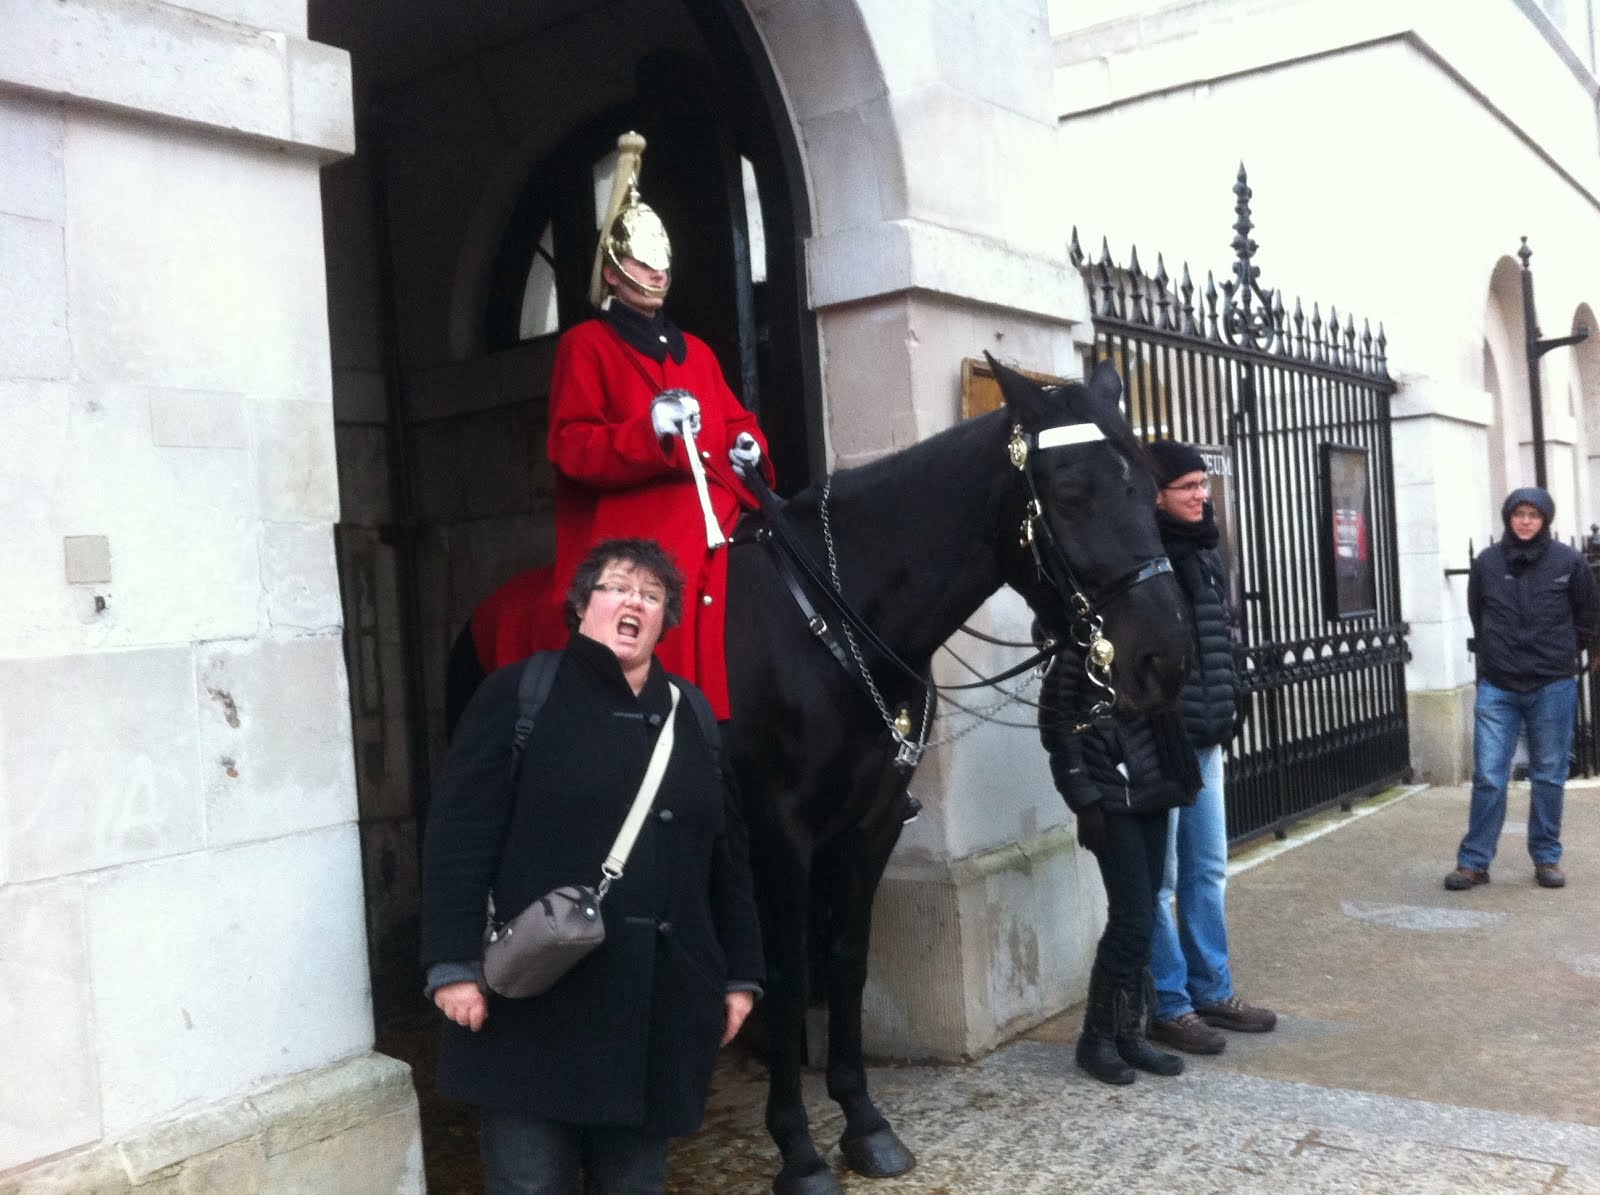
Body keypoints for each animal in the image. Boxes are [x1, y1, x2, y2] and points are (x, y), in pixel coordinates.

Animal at [448, 359, 1190, 1195]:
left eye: (1147, 486)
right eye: (1070, 492)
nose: (1164, 659)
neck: (837, 620)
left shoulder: (869, 827)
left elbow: (845, 962)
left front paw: (864, 1121)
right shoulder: (779, 834)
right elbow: (786, 969)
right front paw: (797, 1147)